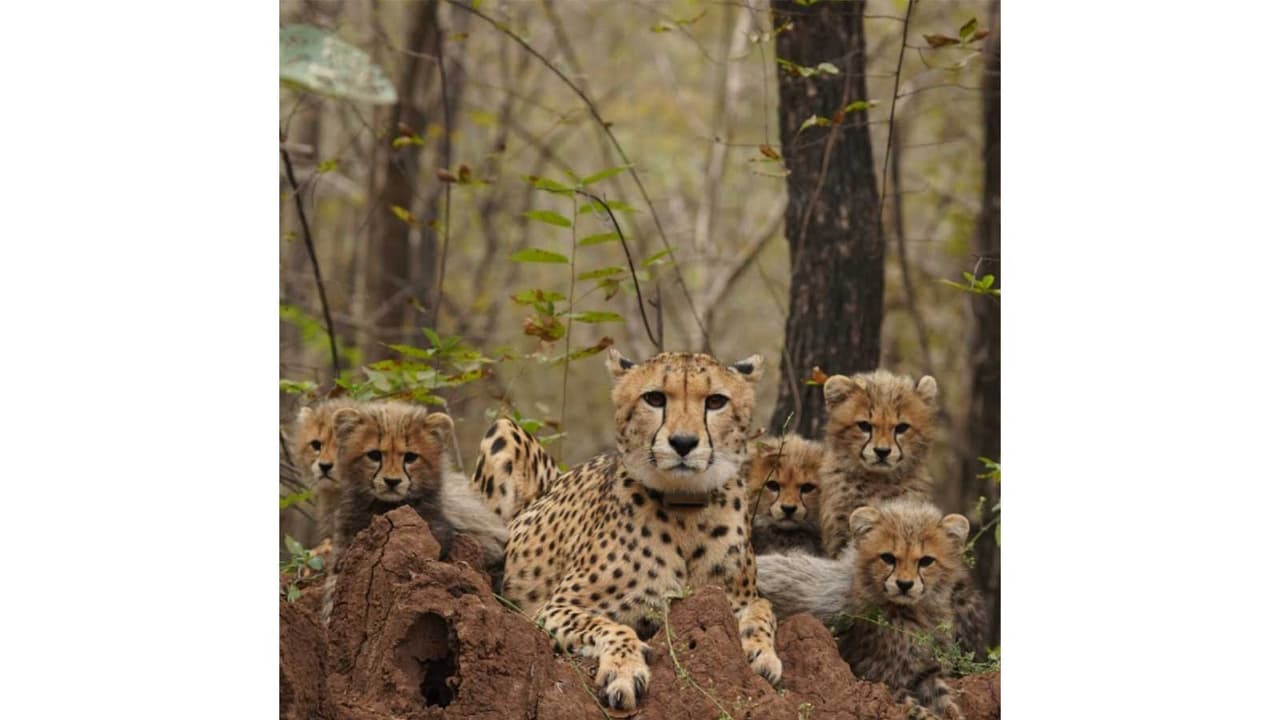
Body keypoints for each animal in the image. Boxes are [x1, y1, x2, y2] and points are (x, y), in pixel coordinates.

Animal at [479, 349, 782, 711]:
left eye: (716, 401)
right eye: (655, 398)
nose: (683, 443)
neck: (685, 509)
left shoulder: (734, 597)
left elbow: (763, 609)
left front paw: (762, 651)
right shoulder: (551, 608)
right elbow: (609, 626)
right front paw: (624, 670)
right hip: (503, 427)